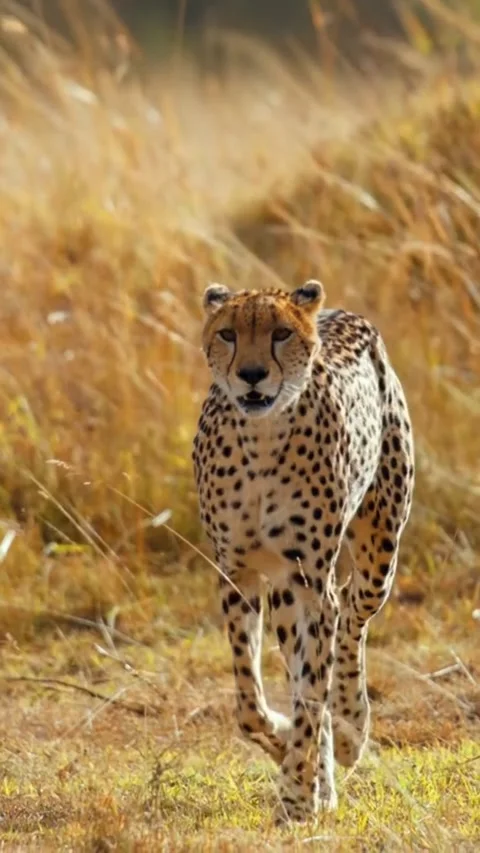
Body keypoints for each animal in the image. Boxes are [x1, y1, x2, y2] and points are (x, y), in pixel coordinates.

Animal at [192, 280, 414, 824]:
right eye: (228, 333)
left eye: (281, 333)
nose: (252, 375)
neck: (262, 438)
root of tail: (343, 312)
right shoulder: (239, 574)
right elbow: (250, 705)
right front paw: (288, 752)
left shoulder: (310, 582)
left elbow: (312, 695)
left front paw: (296, 796)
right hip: (288, 595)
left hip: (377, 550)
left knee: (352, 618)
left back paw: (352, 729)